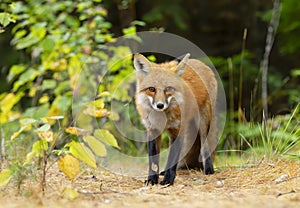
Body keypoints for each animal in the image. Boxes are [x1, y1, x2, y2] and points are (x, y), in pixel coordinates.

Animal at [135, 53, 217, 185]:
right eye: (151, 89)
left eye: (168, 89)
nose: (160, 105)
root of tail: (198, 62)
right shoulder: (153, 130)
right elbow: (153, 161)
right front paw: (152, 179)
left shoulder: (177, 130)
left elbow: (172, 156)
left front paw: (168, 180)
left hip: (203, 123)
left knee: (204, 147)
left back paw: (209, 170)